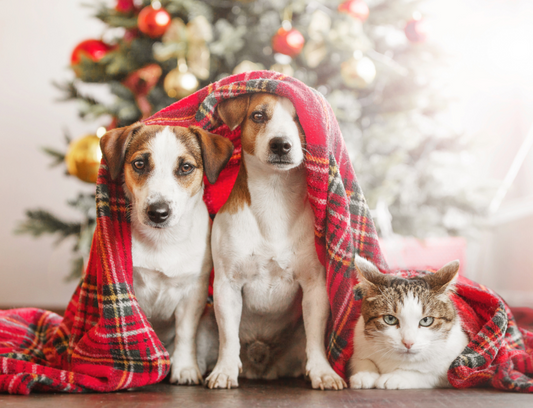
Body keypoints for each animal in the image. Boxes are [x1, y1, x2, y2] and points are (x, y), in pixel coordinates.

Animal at [100, 123, 233, 386]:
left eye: (186, 167)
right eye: (139, 163)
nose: (158, 212)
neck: (162, 241)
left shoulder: (193, 292)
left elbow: (185, 333)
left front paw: (185, 369)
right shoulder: (132, 287)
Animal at [204, 94, 344, 390]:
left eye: (300, 117)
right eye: (258, 116)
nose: (281, 144)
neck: (274, 194)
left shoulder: (315, 286)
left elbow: (316, 337)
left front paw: (323, 372)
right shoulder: (226, 285)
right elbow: (228, 337)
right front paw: (224, 370)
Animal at [352, 256, 468, 390]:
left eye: (426, 320)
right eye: (390, 319)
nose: (408, 342)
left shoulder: (453, 368)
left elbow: (428, 374)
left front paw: (396, 377)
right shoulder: (360, 339)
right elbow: (361, 360)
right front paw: (365, 374)